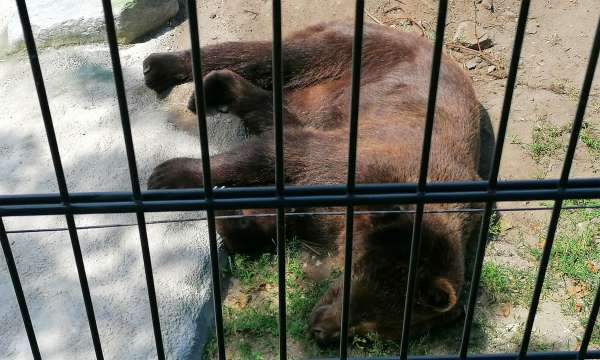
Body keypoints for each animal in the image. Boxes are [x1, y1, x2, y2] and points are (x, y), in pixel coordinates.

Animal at [143, 21, 486, 346]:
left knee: (274, 104)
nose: (321, 332)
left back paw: (216, 90)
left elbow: (283, 215)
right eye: (356, 291)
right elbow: (276, 154)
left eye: (371, 331)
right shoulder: (359, 162)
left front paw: (234, 222)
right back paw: (165, 70)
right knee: (273, 59)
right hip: (355, 55)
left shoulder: (331, 215)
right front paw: (170, 176)